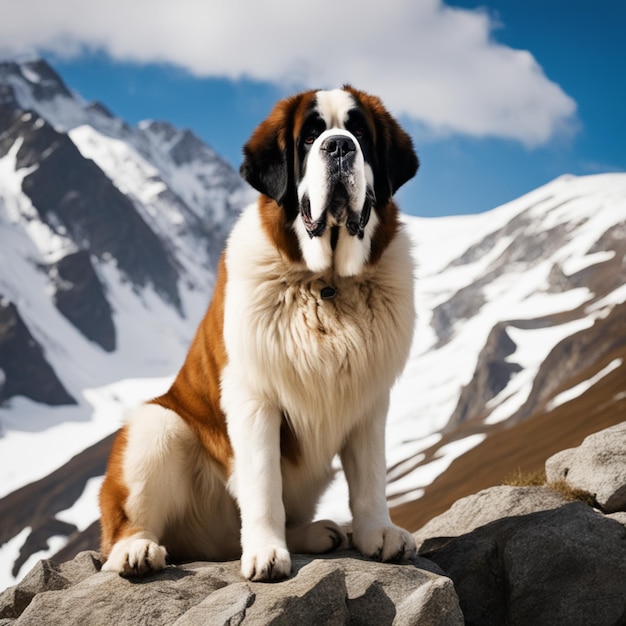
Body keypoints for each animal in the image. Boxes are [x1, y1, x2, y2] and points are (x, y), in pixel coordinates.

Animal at [98, 84, 420, 580]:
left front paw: (376, 533)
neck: (327, 285)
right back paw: (137, 551)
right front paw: (267, 553)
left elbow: (369, 477)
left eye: (361, 134)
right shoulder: (255, 398)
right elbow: (265, 482)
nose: (339, 146)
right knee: (127, 524)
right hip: (158, 426)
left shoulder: (369, 398)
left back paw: (318, 533)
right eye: (309, 137)